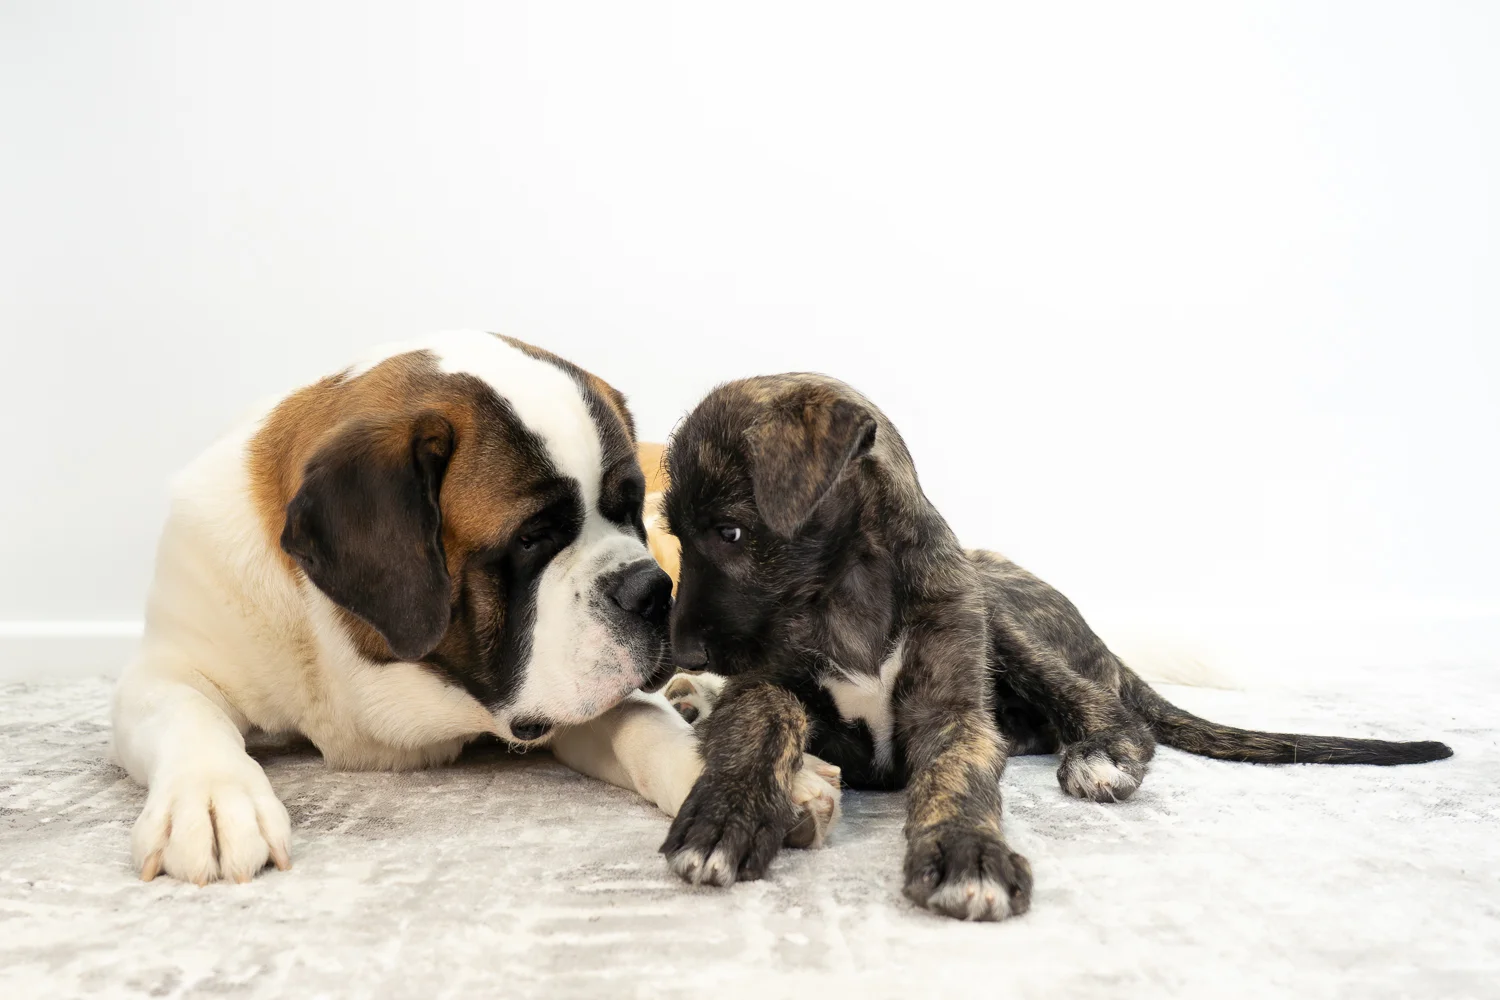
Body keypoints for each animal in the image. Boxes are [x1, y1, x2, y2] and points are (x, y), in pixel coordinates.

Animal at [110, 333, 839, 885]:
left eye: (631, 508)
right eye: (533, 537)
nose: (652, 590)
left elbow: (640, 720)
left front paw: (739, 781)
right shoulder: (168, 662)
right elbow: (186, 711)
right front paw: (211, 801)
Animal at [653, 373, 1453, 921]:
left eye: (730, 532)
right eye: (675, 532)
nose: (681, 653)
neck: (844, 589)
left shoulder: (955, 709)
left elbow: (960, 777)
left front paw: (966, 854)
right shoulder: (767, 682)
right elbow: (763, 722)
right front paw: (727, 815)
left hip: (1002, 608)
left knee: (1107, 706)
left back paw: (1101, 756)